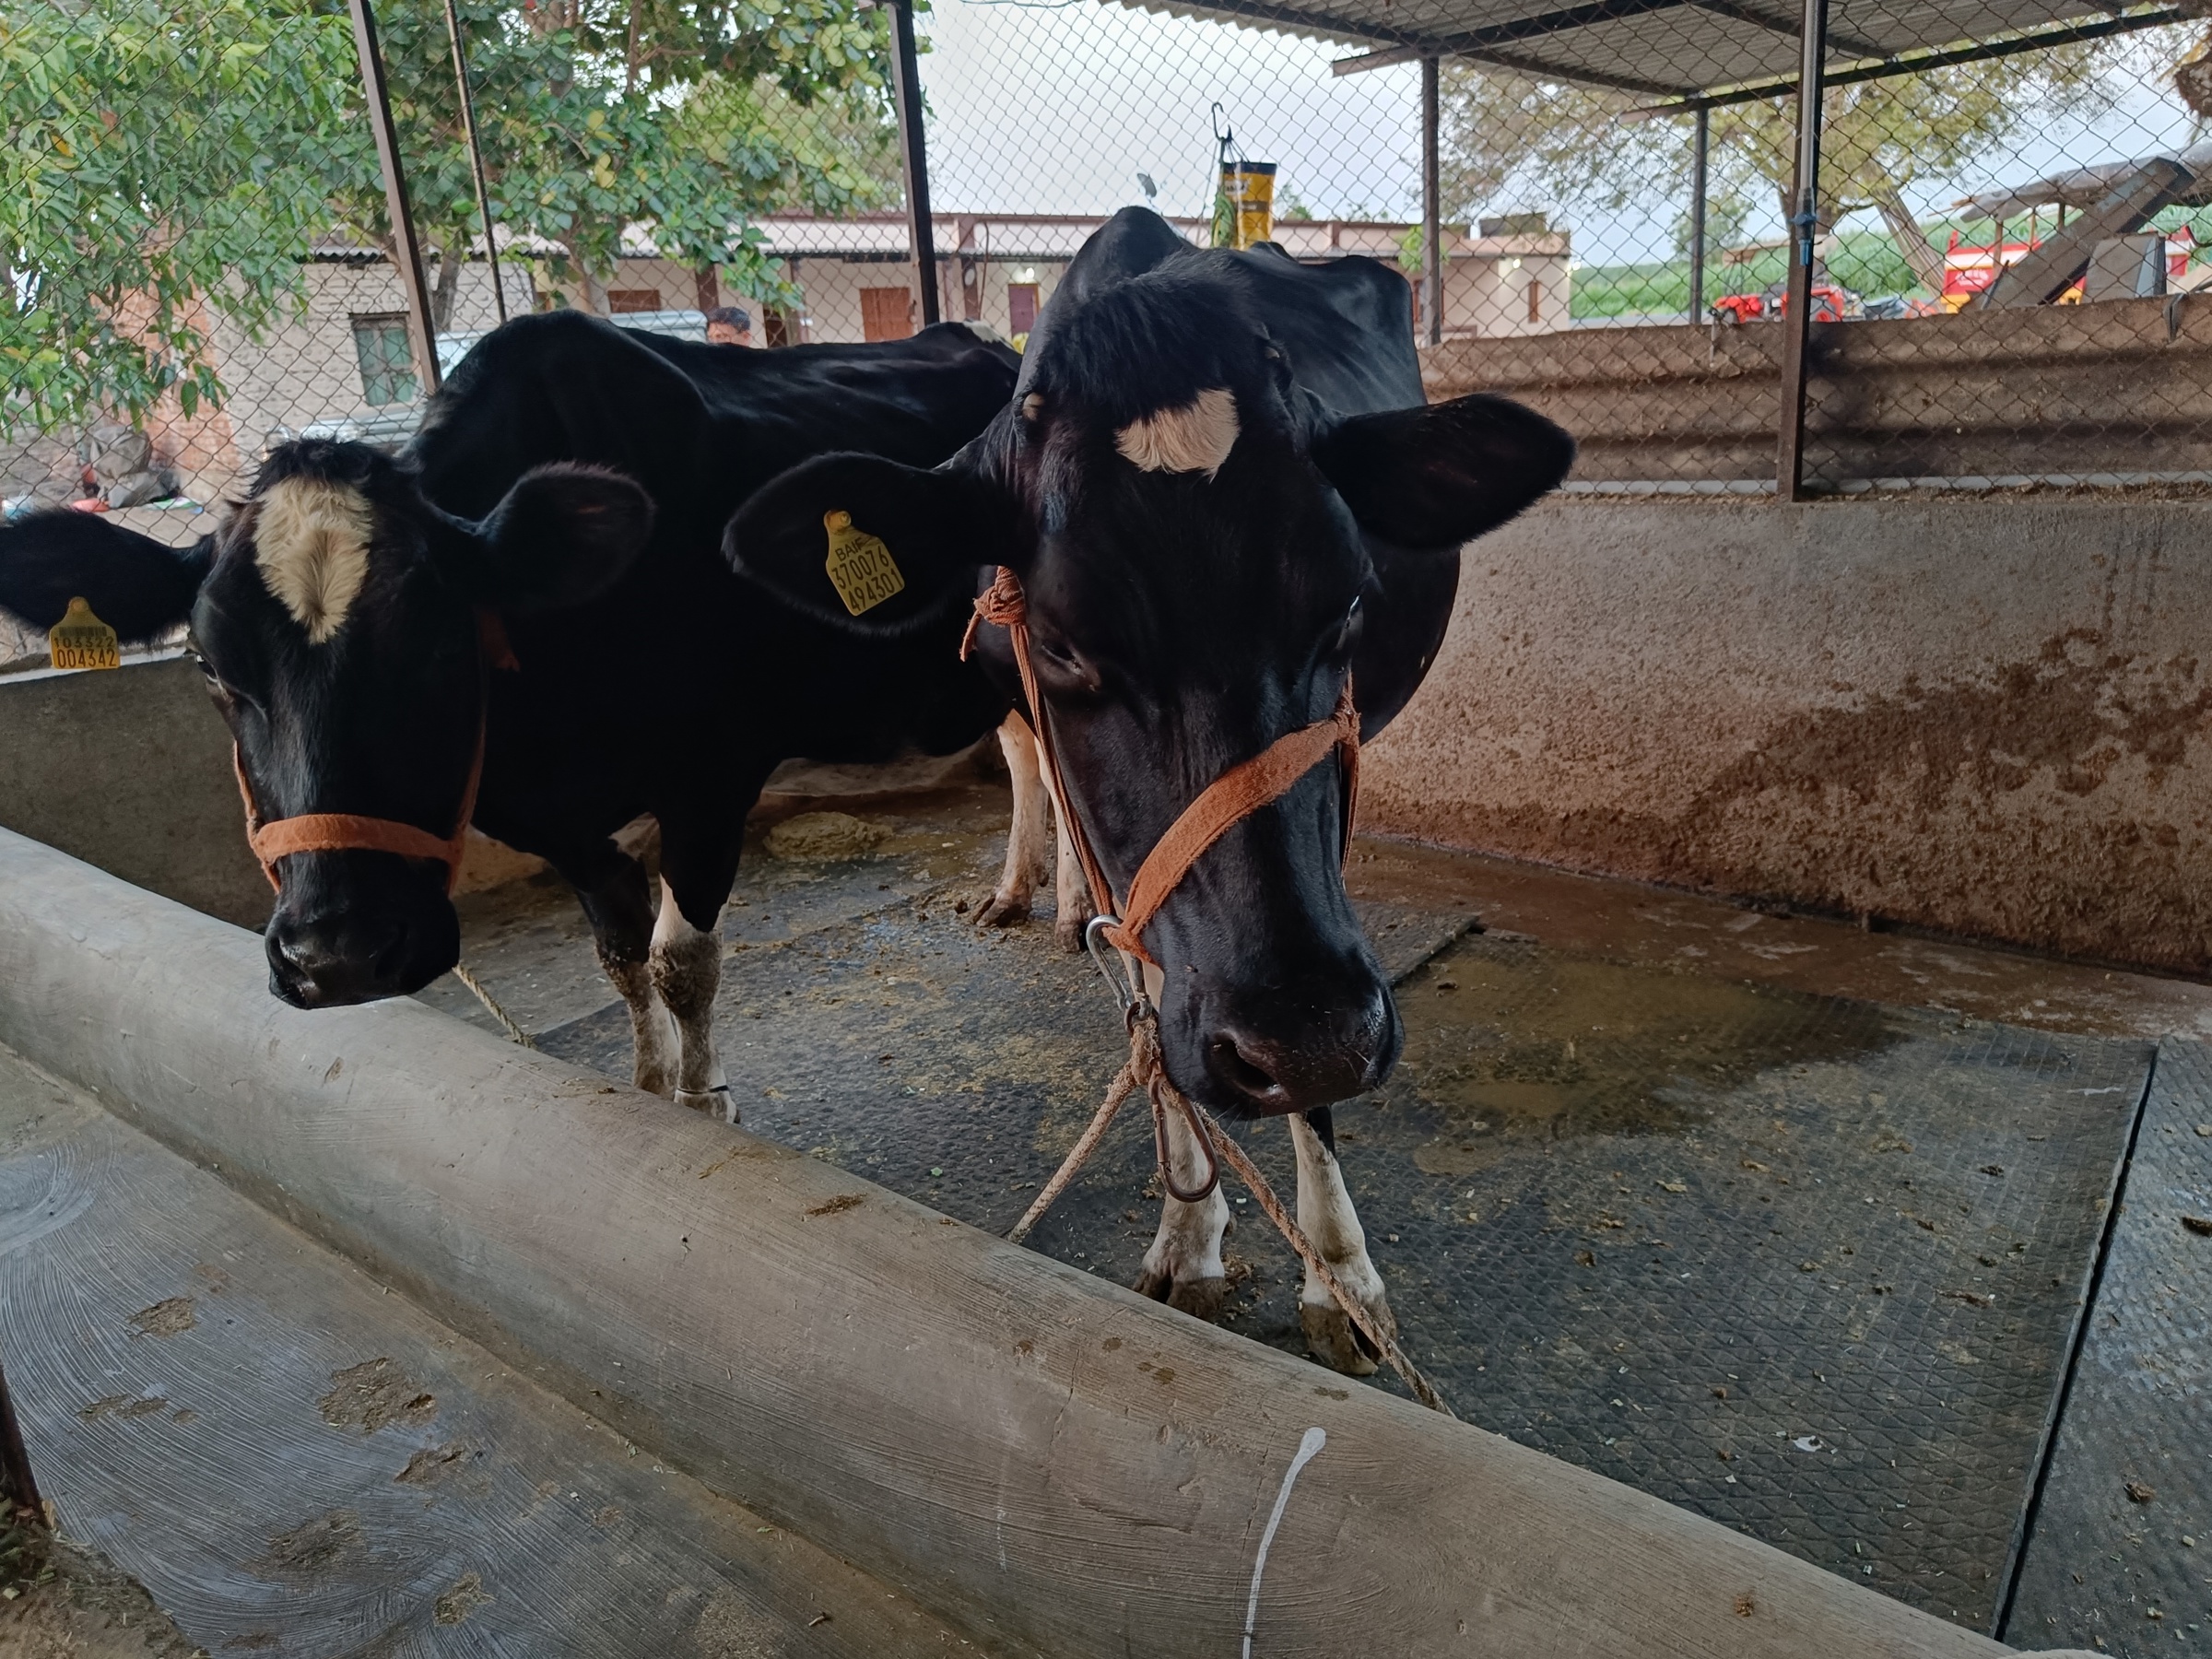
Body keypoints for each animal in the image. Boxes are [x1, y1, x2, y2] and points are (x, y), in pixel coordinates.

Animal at [0, 311, 1019, 1120]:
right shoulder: (547, 820)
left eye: (439, 643)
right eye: (208, 665)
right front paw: (652, 1089)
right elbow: (620, 953)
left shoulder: (713, 775)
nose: (336, 956)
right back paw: (1014, 893)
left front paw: (705, 1102)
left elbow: (680, 962)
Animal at [726, 207, 1574, 1370]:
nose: (1312, 1032)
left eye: (1350, 601)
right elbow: (1142, 984)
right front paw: (1190, 1226)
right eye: (1060, 639)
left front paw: (1338, 1272)